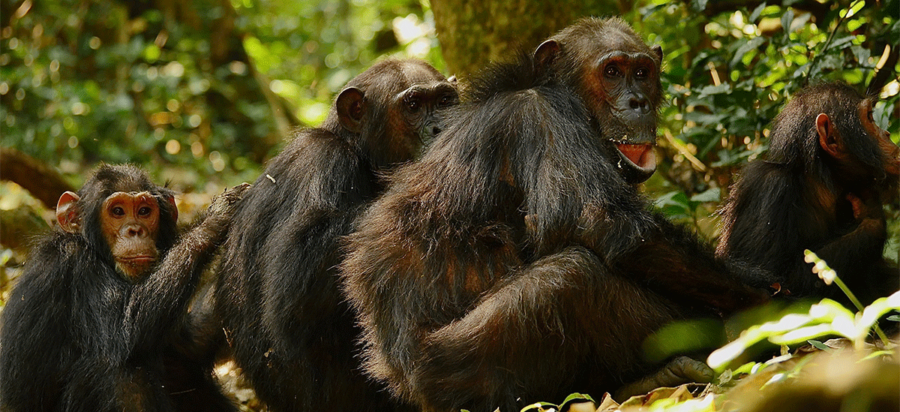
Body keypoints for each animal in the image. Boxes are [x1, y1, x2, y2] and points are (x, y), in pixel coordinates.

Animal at [0, 164, 246, 412]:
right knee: (120, 370)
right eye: (118, 211)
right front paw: (216, 216)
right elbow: (125, 328)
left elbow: (190, 344)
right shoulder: (75, 264)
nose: (135, 230)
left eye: (144, 211)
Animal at [213, 58, 458, 412]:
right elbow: (292, 284)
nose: (441, 126)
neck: (359, 151)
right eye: (413, 105)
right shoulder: (323, 163)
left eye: (444, 101)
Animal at [338, 16, 768, 412]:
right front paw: (765, 298)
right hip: (464, 370)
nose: (638, 102)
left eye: (642, 73)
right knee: (570, 278)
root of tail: (401, 382)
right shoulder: (542, 115)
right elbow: (601, 220)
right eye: (612, 72)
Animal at [716, 81, 900, 306]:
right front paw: (872, 215)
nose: (887, 134)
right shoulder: (768, 188)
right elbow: (773, 284)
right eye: (870, 118)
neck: (820, 185)